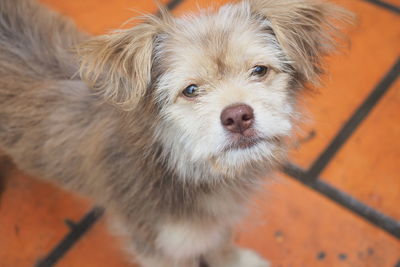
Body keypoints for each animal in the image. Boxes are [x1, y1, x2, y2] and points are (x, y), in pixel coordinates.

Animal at [0, 0, 350, 267]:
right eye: (191, 90)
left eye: (259, 70)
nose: (238, 116)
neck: (175, 161)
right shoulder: (157, 245)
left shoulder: (216, 222)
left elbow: (220, 240)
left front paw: (234, 260)